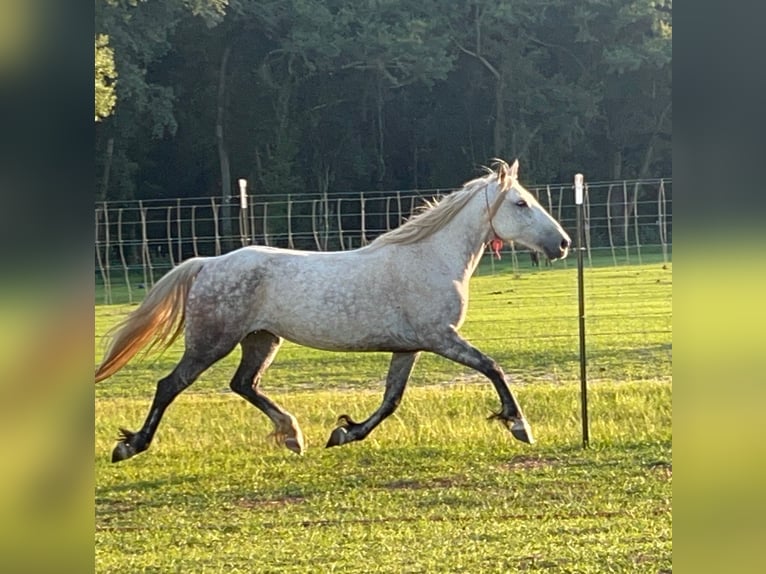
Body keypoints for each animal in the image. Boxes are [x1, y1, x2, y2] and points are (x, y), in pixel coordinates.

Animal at [95, 159, 571, 463]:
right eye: (521, 203)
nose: (563, 243)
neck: (430, 258)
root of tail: (208, 263)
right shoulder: (441, 338)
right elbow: (493, 367)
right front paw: (519, 426)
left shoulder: (410, 347)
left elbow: (391, 399)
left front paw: (344, 432)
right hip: (212, 342)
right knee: (169, 385)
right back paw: (130, 445)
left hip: (261, 340)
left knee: (243, 384)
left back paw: (292, 435)